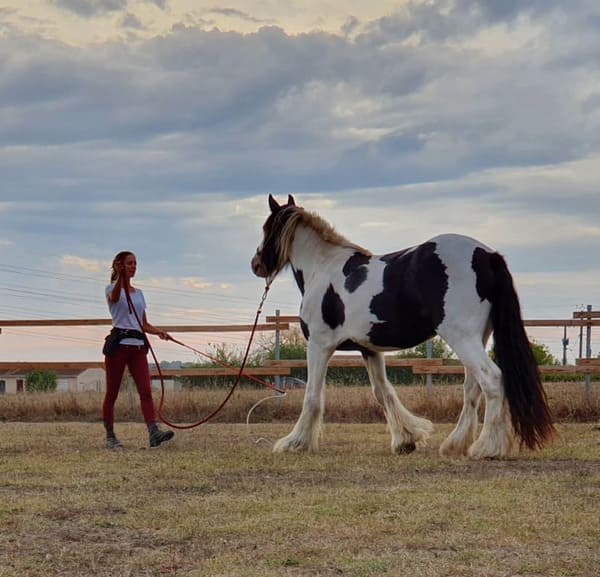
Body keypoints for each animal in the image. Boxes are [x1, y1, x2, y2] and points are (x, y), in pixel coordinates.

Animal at [251, 194, 556, 460]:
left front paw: (295, 442)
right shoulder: (369, 349)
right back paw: (456, 444)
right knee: (472, 388)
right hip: (477, 337)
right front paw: (406, 439)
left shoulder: (318, 344)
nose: (256, 264)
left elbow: (313, 396)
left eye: (266, 228)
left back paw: (486, 448)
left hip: (462, 337)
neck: (323, 268)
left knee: (491, 380)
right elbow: (383, 392)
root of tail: (487, 255)